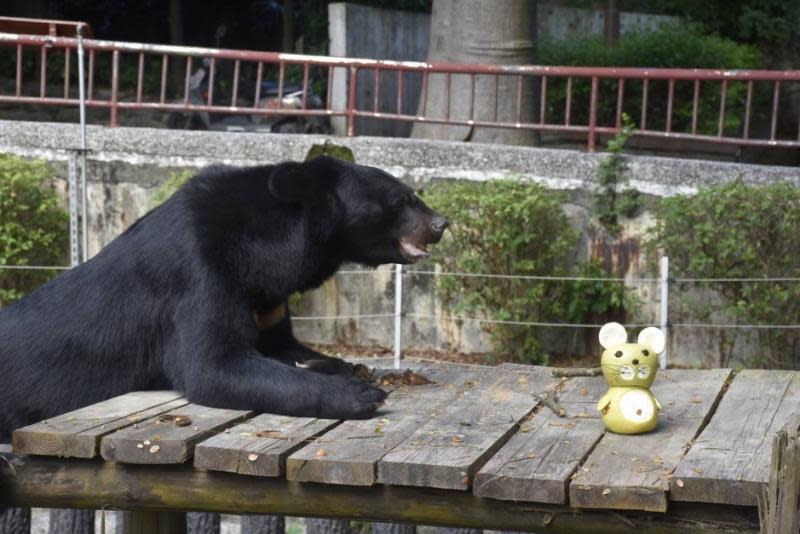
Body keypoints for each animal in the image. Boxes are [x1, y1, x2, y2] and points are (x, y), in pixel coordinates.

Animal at [0, 157, 450, 442]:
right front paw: (359, 394)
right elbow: (214, 364)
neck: (266, 249)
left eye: (412, 195)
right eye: (401, 199)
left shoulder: (268, 296)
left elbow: (281, 344)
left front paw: (343, 365)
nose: (441, 223)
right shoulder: (201, 272)